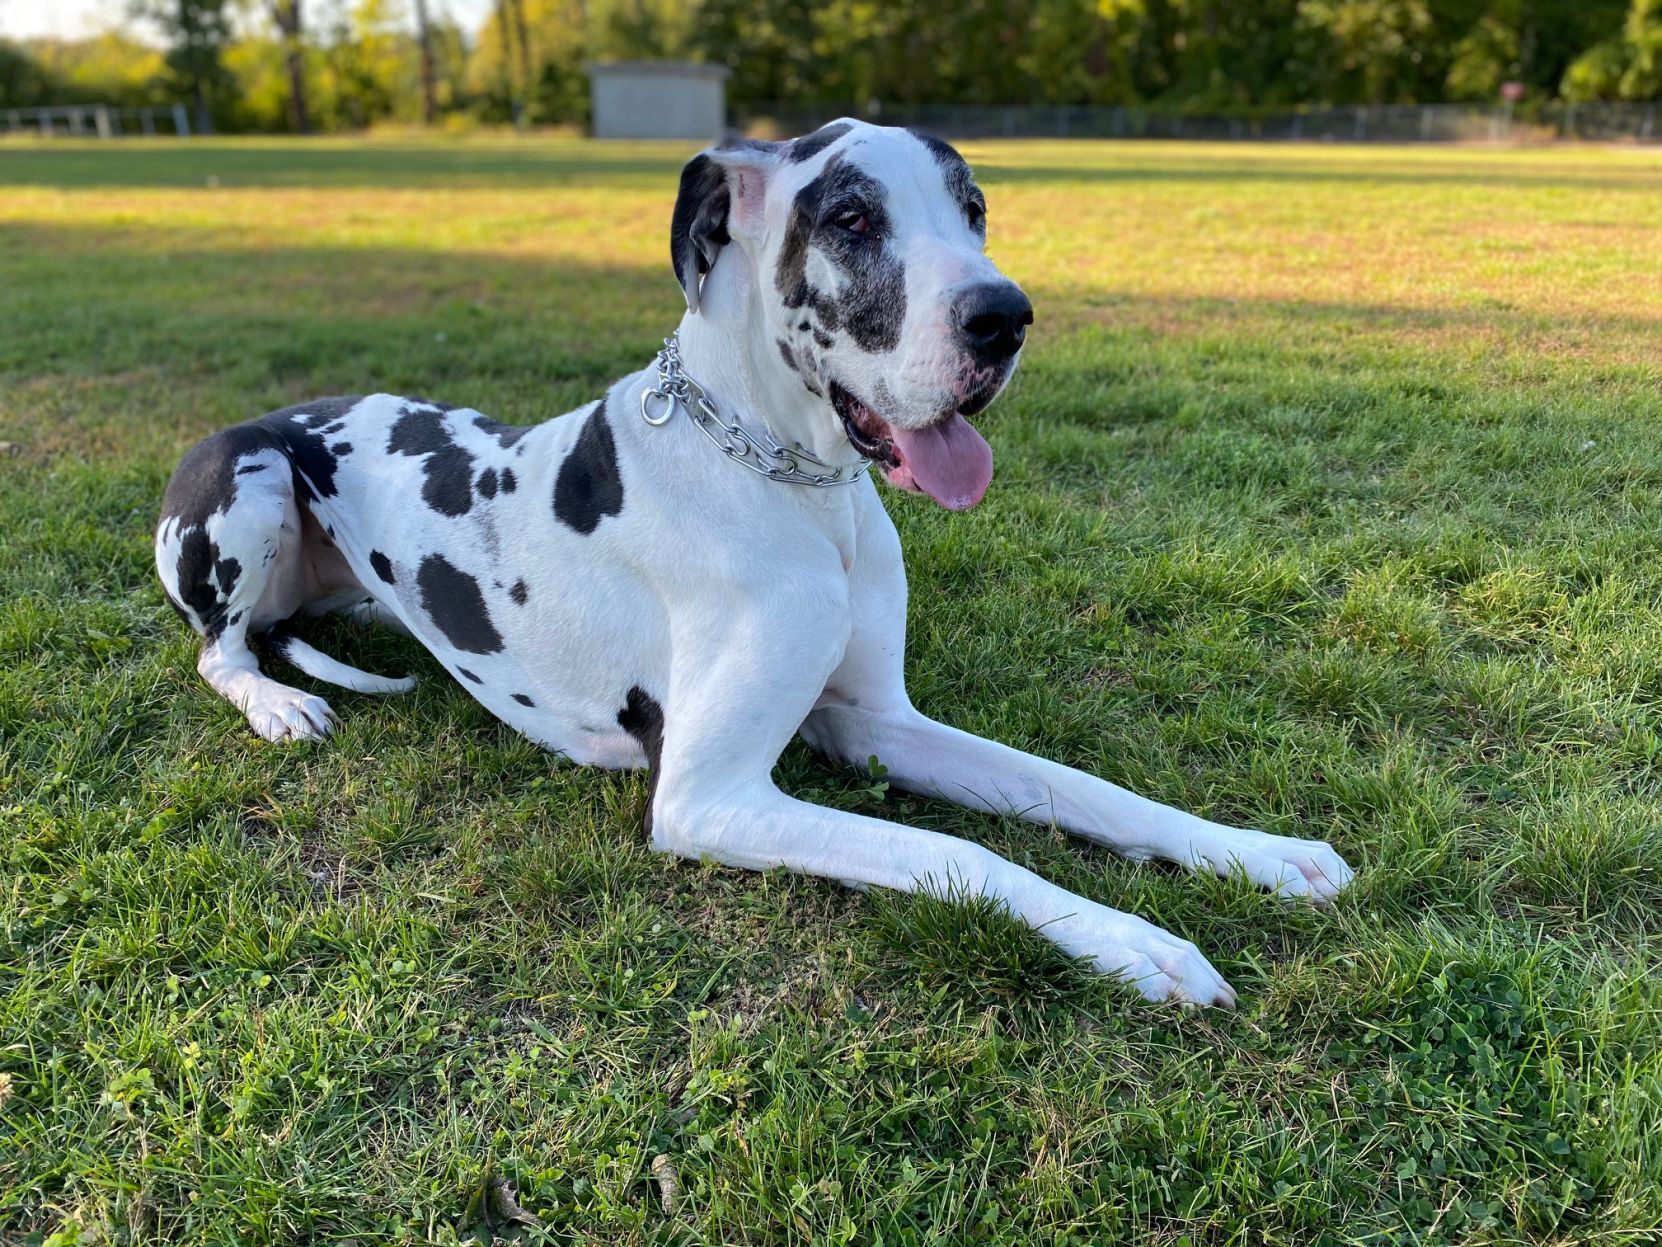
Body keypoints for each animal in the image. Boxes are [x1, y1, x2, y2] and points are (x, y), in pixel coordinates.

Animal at [158, 122, 1349, 1010]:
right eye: (853, 218)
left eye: (974, 209)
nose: (1004, 317)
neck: (796, 484)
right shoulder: (709, 796)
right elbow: (970, 856)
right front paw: (1138, 942)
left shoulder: (875, 721)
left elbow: (1083, 788)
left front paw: (1256, 851)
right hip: (245, 479)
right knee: (221, 651)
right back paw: (277, 702)